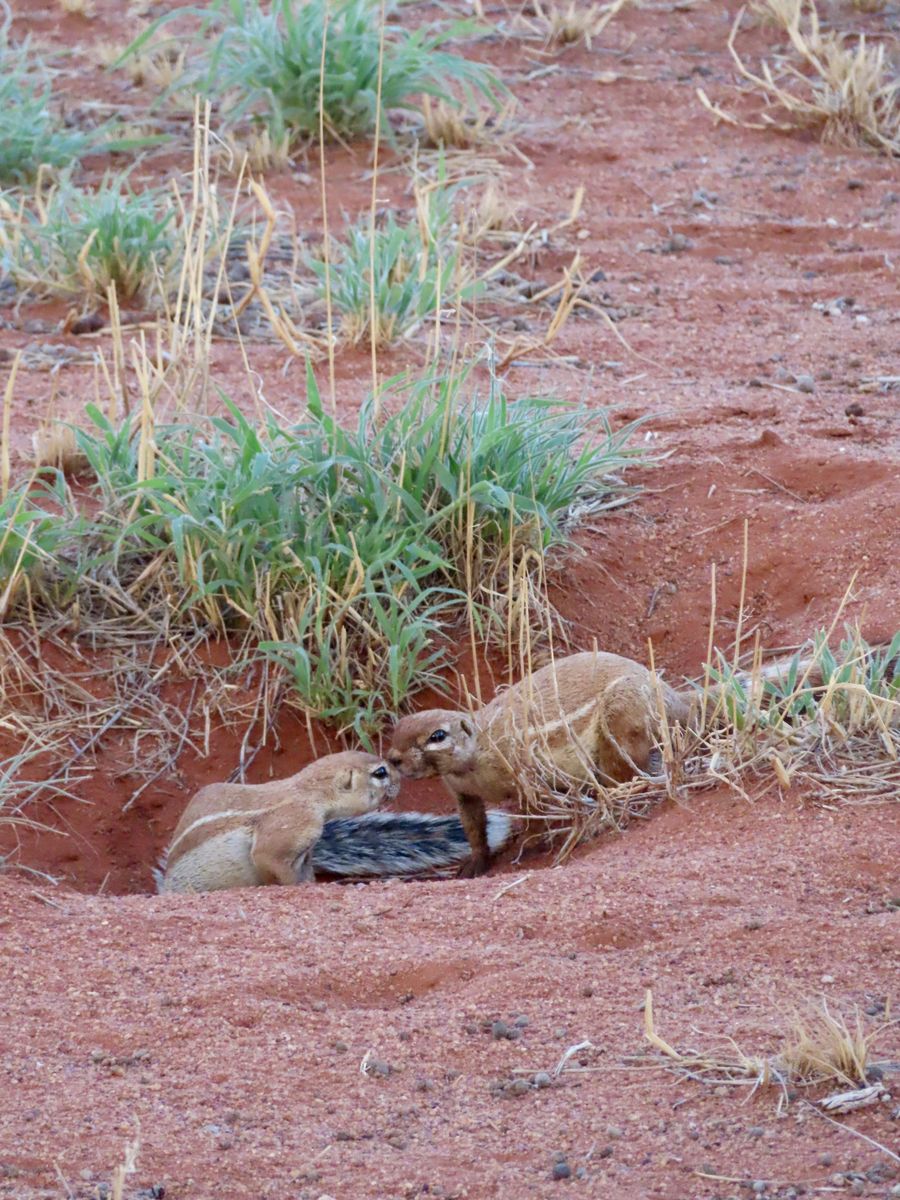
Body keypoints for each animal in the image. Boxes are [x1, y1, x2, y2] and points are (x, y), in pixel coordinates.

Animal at [156, 750, 512, 893]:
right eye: (380, 773)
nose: (400, 779)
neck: (306, 791)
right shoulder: (293, 826)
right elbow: (270, 860)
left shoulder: (306, 850)